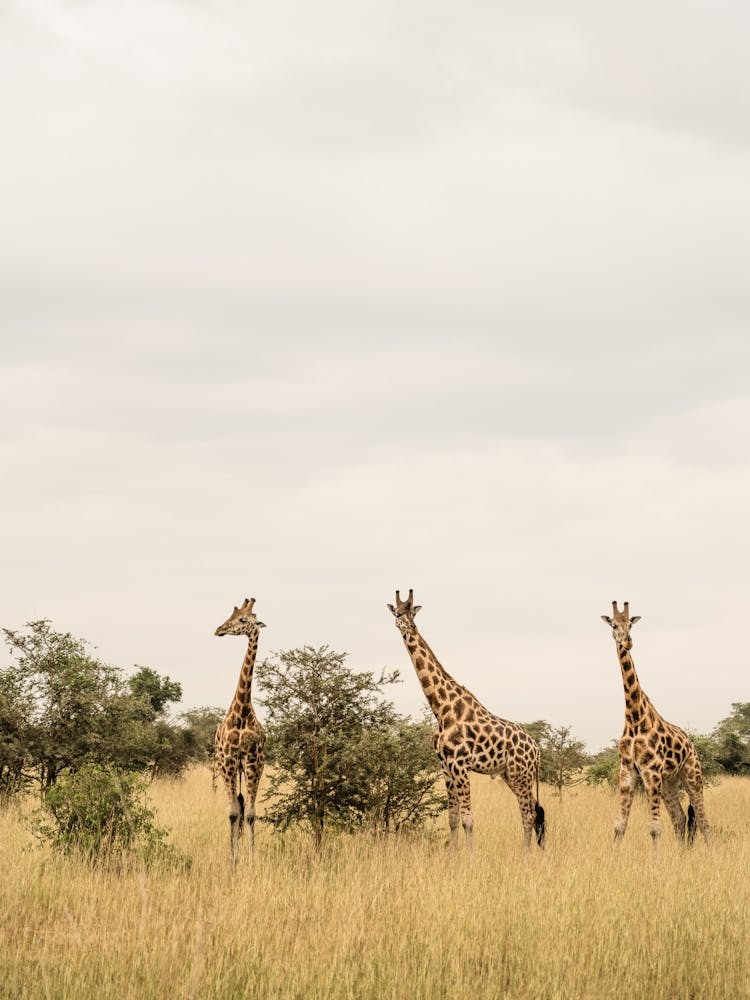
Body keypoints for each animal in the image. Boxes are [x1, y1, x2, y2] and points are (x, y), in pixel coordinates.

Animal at [387, 589, 545, 852]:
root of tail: (536, 749)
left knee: (528, 814)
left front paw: (470, 856)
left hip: (521, 775)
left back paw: (526, 854)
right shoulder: (446, 767)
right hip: (511, 775)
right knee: (535, 811)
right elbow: (452, 818)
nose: (408, 626)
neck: (442, 709)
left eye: (412, 613)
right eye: (398, 613)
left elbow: (468, 819)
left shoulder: (460, 765)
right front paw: (452, 854)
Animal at [601, 601, 710, 848]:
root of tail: (690, 743)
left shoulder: (651, 771)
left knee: (702, 820)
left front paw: (655, 858)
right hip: (669, 781)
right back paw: (681, 854)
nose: (627, 642)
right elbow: (619, 826)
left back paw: (711, 851)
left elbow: (654, 828)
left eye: (630, 623)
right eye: (614, 625)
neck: (634, 718)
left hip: (692, 774)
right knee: (680, 818)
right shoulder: (627, 771)